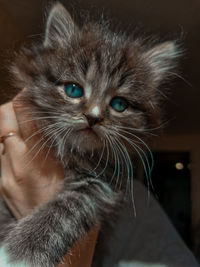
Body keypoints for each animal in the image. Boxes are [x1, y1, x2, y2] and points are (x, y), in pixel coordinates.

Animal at [0, 2, 178, 267]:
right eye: (73, 90)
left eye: (119, 104)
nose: (93, 117)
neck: (72, 152)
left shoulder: (100, 183)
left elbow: (64, 211)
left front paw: (22, 251)